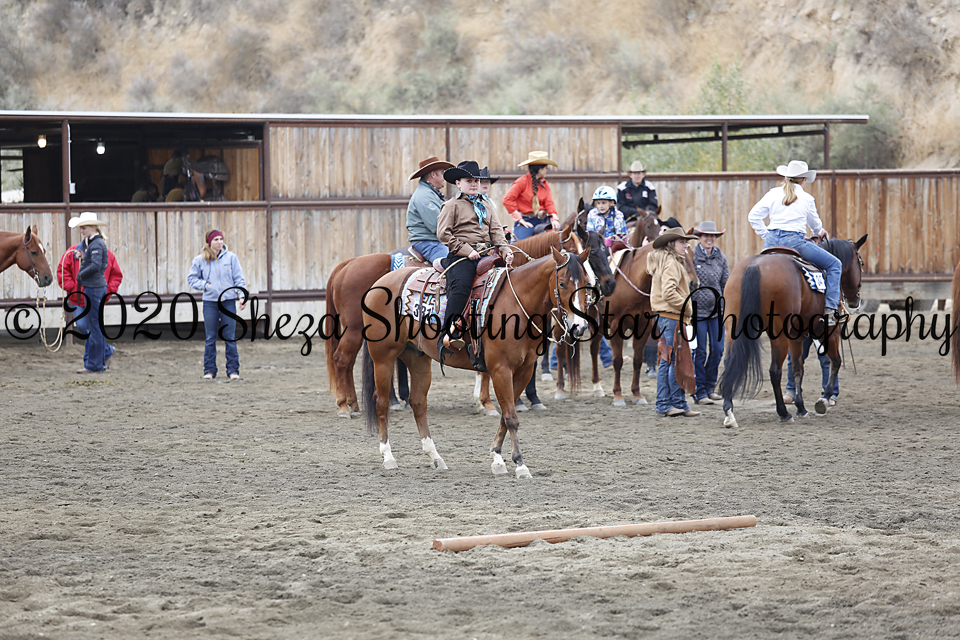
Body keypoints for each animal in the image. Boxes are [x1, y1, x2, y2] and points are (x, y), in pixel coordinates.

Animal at [325, 209, 606, 418]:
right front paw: (490, 403)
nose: (599, 285)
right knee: (343, 359)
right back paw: (346, 406)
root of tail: (347, 265)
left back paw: (365, 403)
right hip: (356, 331)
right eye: (563, 283)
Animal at [361, 246, 594, 477]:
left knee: (418, 402)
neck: (517, 304)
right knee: (381, 402)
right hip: (383, 357)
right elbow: (511, 417)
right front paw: (520, 464)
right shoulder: (501, 369)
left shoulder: (524, 370)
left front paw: (497, 458)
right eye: (562, 283)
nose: (580, 327)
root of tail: (378, 283)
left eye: (586, 283)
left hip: (417, 358)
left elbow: (505, 416)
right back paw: (388, 457)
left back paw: (435, 457)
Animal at [718, 235, 867, 427]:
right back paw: (783, 413)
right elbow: (836, 361)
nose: (856, 300)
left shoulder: (797, 337)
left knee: (729, 363)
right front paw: (824, 399)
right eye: (860, 262)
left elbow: (798, 369)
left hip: (732, 329)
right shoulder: (828, 331)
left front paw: (801, 407)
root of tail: (754, 266)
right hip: (780, 334)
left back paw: (729, 412)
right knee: (775, 371)